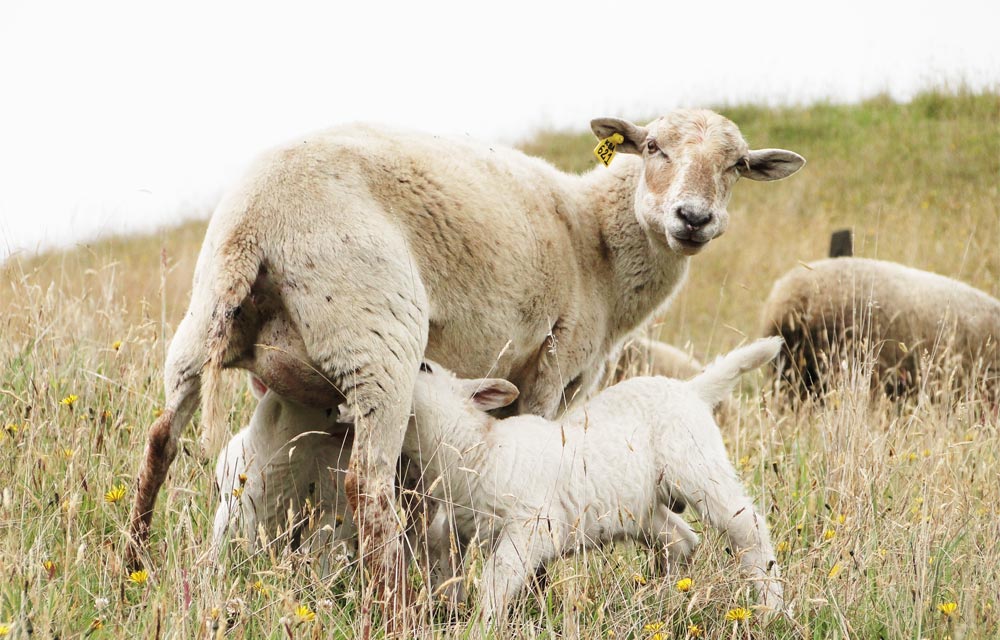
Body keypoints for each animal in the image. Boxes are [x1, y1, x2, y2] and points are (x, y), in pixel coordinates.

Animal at [407, 338, 785, 623]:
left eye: (425, 368)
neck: (477, 447)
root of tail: (690, 390)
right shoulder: (459, 524)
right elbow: (446, 561)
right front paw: (450, 612)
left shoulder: (531, 526)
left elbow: (495, 578)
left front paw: (483, 623)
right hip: (637, 506)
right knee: (680, 539)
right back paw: (664, 602)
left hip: (697, 467)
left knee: (748, 527)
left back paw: (771, 609)